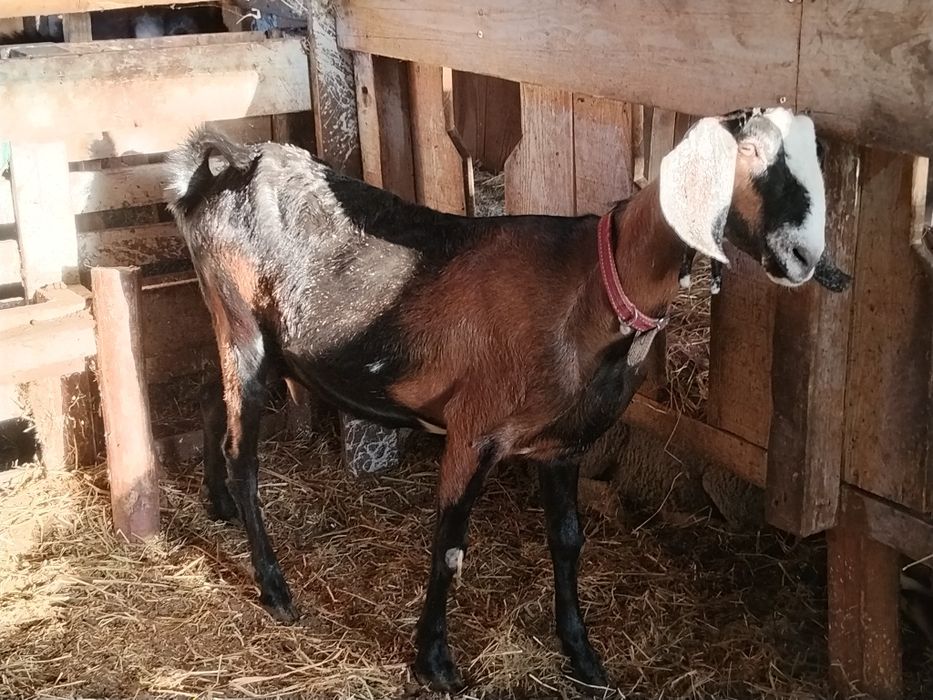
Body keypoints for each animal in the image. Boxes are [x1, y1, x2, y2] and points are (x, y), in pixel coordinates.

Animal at [166, 107, 848, 691]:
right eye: (749, 151)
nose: (803, 256)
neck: (592, 290)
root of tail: (224, 166)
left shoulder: (563, 447)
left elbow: (568, 540)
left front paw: (583, 655)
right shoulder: (473, 432)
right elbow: (450, 548)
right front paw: (434, 663)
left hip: (246, 335)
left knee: (209, 401)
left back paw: (218, 504)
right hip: (242, 323)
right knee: (245, 455)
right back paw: (275, 588)